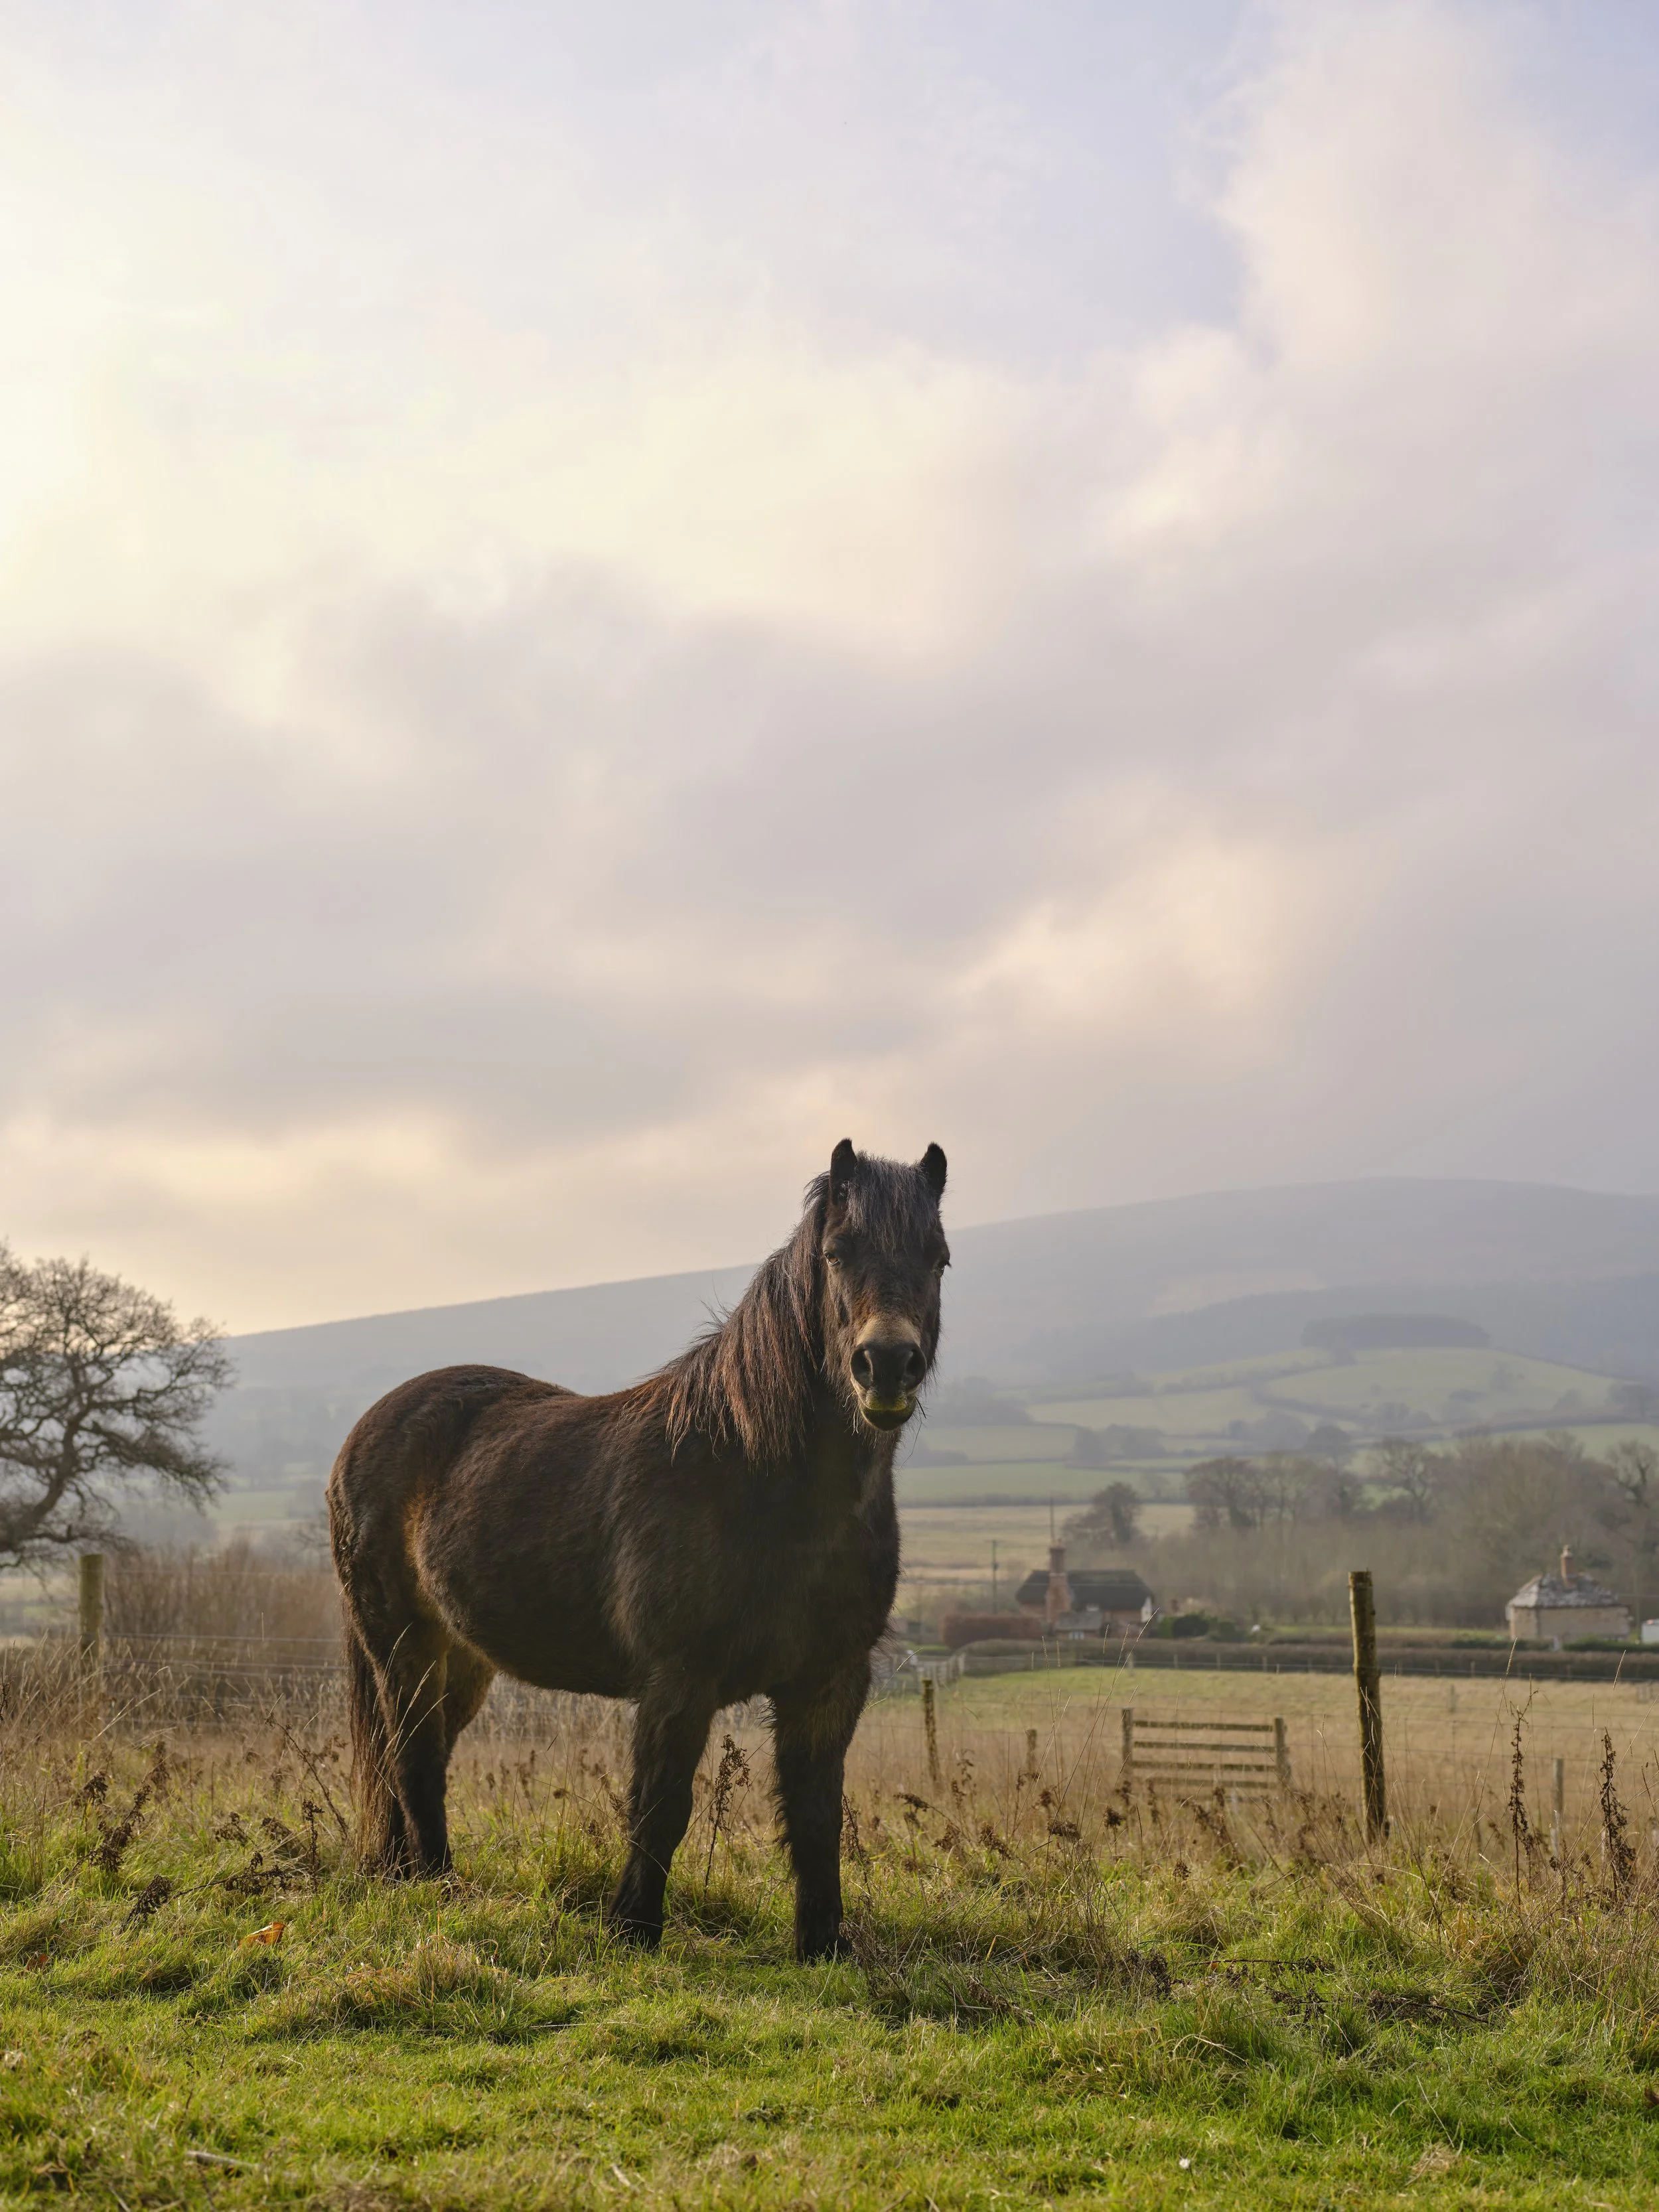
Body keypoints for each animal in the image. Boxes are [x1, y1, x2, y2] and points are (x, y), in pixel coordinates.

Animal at [327, 1137, 948, 1959]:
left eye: (938, 1257)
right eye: (838, 1253)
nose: (886, 1365)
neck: (758, 1477)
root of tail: (365, 1427)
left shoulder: (829, 1682)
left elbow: (817, 1816)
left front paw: (821, 1945)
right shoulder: (677, 1679)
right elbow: (661, 1805)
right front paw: (633, 1930)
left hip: (462, 1660)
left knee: (417, 1756)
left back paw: (402, 1876)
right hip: (402, 1647)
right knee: (413, 1759)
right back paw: (437, 1886)